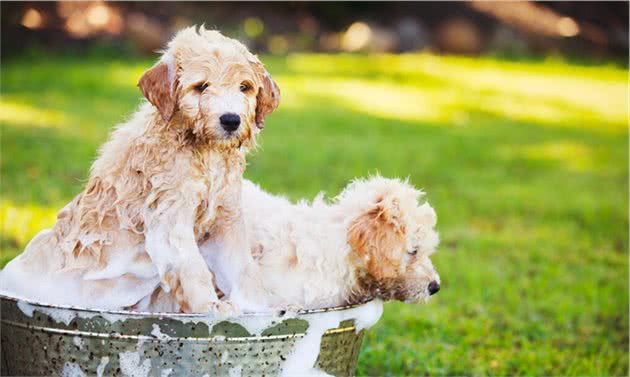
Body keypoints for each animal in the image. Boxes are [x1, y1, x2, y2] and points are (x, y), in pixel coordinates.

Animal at [0, 27, 280, 314]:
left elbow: (244, 269)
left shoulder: (227, 218)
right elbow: (193, 269)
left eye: (244, 87)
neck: (203, 152)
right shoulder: (170, 220)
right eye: (201, 86)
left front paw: (262, 307)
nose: (231, 120)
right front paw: (209, 306)